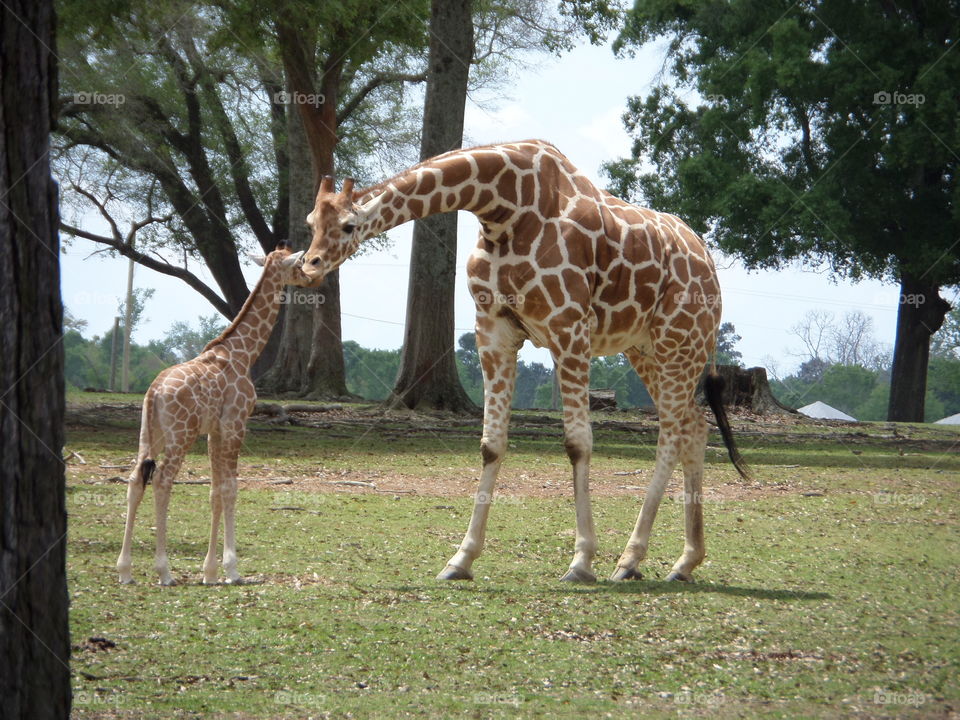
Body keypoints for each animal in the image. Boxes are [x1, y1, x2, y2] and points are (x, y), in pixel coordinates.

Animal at [116, 243, 310, 584]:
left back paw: (125, 570)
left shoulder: (214, 431)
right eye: (297, 265)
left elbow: (215, 491)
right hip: (181, 434)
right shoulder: (235, 424)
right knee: (162, 480)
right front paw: (231, 569)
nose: (310, 278)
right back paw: (164, 571)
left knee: (135, 479)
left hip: (150, 433)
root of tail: (154, 392)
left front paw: (209, 571)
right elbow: (230, 488)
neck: (244, 352)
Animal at [300, 138, 752, 584]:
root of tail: (707, 259)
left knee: (671, 434)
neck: (502, 210)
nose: (309, 265)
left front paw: (581, 561)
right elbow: (491, 444)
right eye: (309, 222)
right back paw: (684, 561)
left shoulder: (569, 327)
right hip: (645, 348)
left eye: (348, 226)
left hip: (680, 339)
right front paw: (461, 559)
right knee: (694, 426)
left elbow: (577, 443)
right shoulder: (493, 330)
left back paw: (629, 559)